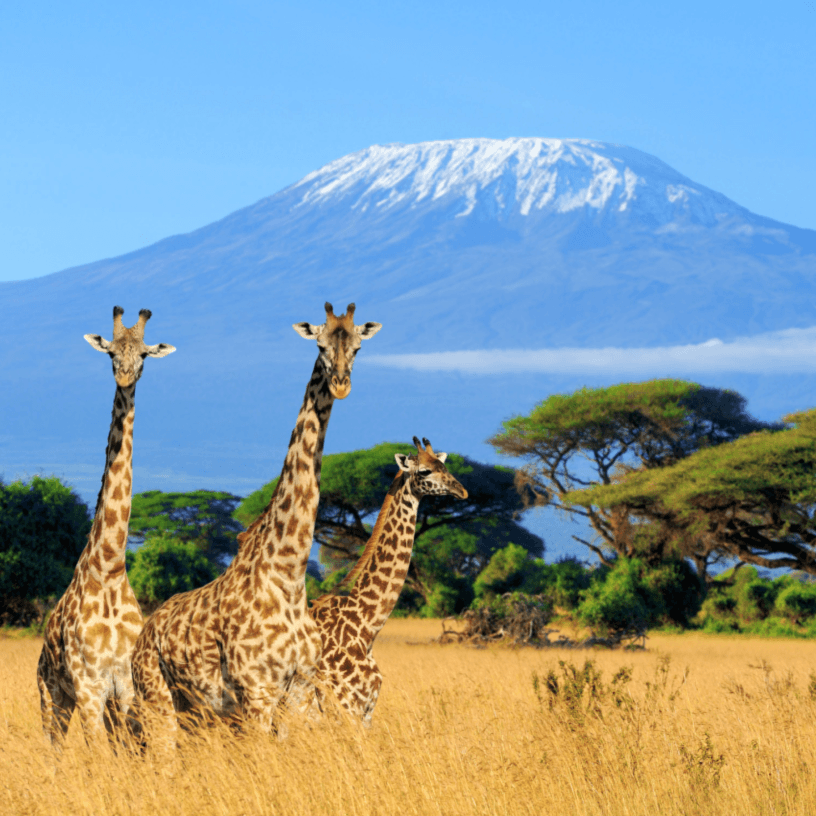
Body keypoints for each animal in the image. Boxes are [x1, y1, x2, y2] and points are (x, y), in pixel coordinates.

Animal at [36, 307, 175, 747]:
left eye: (144, 354)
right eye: (111, 352)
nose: (126, 377)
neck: (110, 567)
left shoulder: (125, 687)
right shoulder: (89, 687)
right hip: (52, 696)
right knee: (53, 749)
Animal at [130, 303, 381, 739]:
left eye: (358, 347)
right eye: (319, 344)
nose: (340, 385)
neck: (288, 574)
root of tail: (144, 633)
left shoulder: (299, 693)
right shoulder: (257, 693)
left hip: (196, 712)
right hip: (158, 701)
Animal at [308, 437, 467, 726]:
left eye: (444, 466)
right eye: (424, 471)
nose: (462, 492)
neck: (366, 625)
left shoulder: (366, 711)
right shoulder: (347, 708)